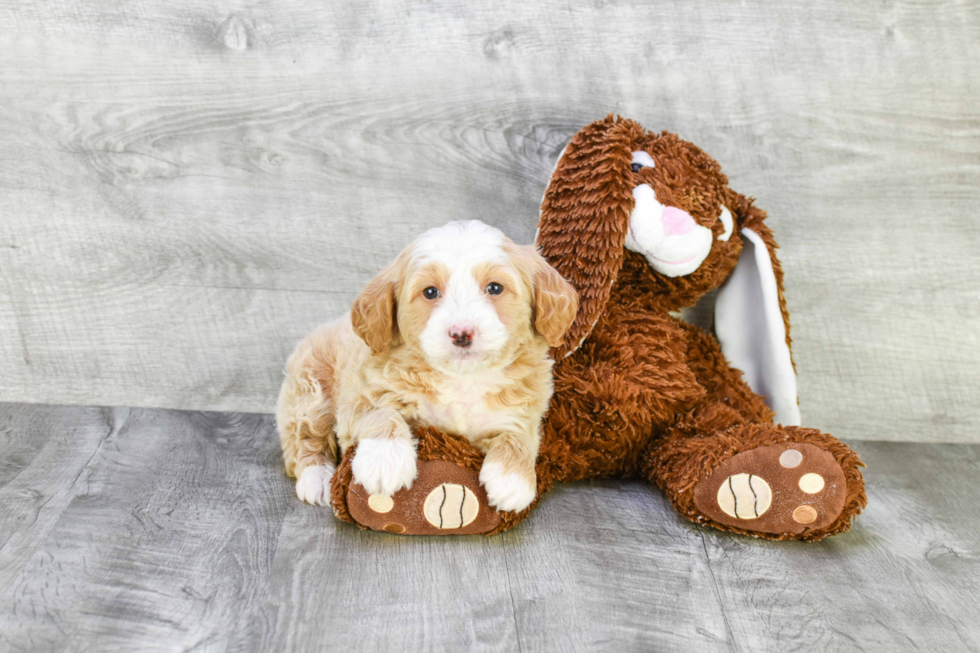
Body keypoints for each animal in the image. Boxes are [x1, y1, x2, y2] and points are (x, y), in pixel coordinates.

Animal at [276, 222, 580, 512]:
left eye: (494, 287)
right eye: (430, 292)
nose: (461, 333)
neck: (462, 380)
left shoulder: (522, 412)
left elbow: (519, 437)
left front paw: (512, 479)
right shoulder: (359, 397)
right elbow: (381, 413)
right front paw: (384, 459)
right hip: (310, 390)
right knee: (305, 437)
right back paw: (317, 479)